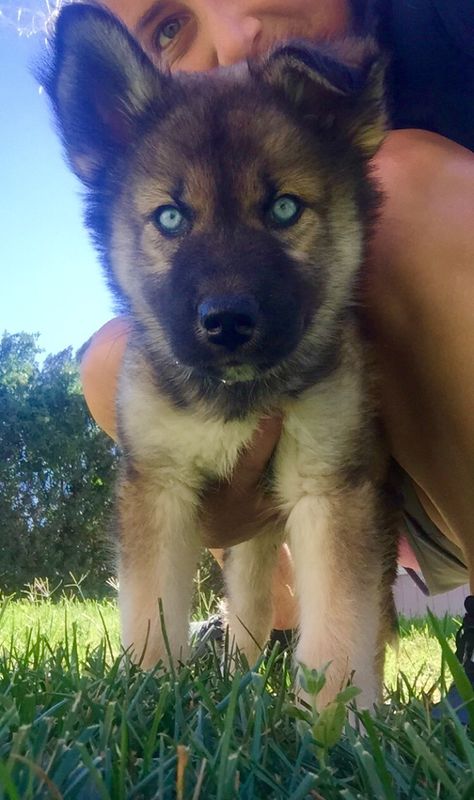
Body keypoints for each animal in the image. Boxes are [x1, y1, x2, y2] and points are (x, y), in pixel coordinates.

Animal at [45, 4, 400, 708]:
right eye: (171, 218)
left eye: (284, 208)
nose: (228, 322)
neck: (234, 398)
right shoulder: (159, 482)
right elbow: (151, 609)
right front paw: (151, 698)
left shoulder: (329, 486)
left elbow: (338, 634)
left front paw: (337, 725)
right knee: (252, 605)